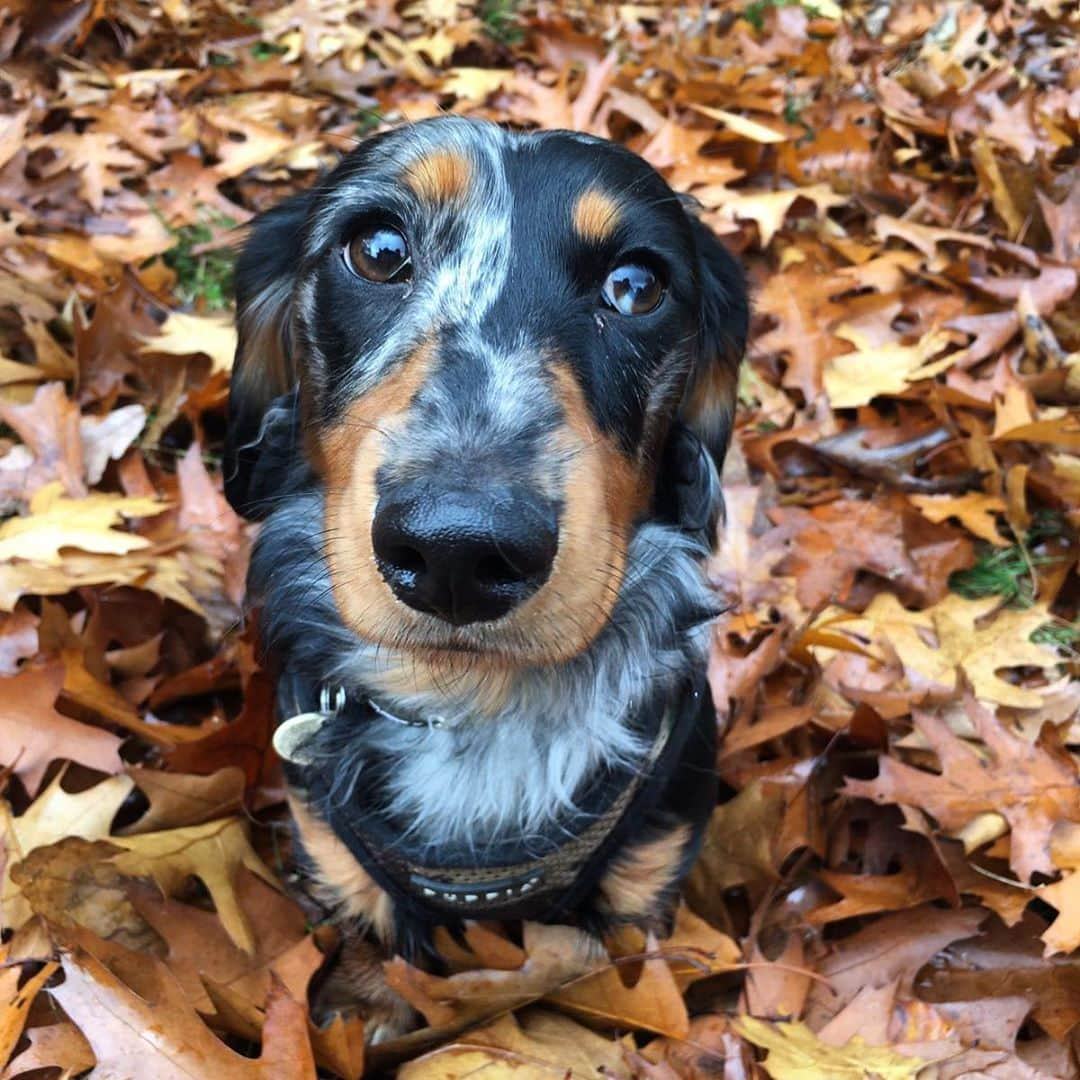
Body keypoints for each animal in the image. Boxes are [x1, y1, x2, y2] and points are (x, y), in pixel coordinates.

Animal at [223, 113, 747, 1032]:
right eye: (378, 250)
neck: (476, 702)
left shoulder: (647, 876)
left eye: (637, 286)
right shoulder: (344, 876)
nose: (458, 552)